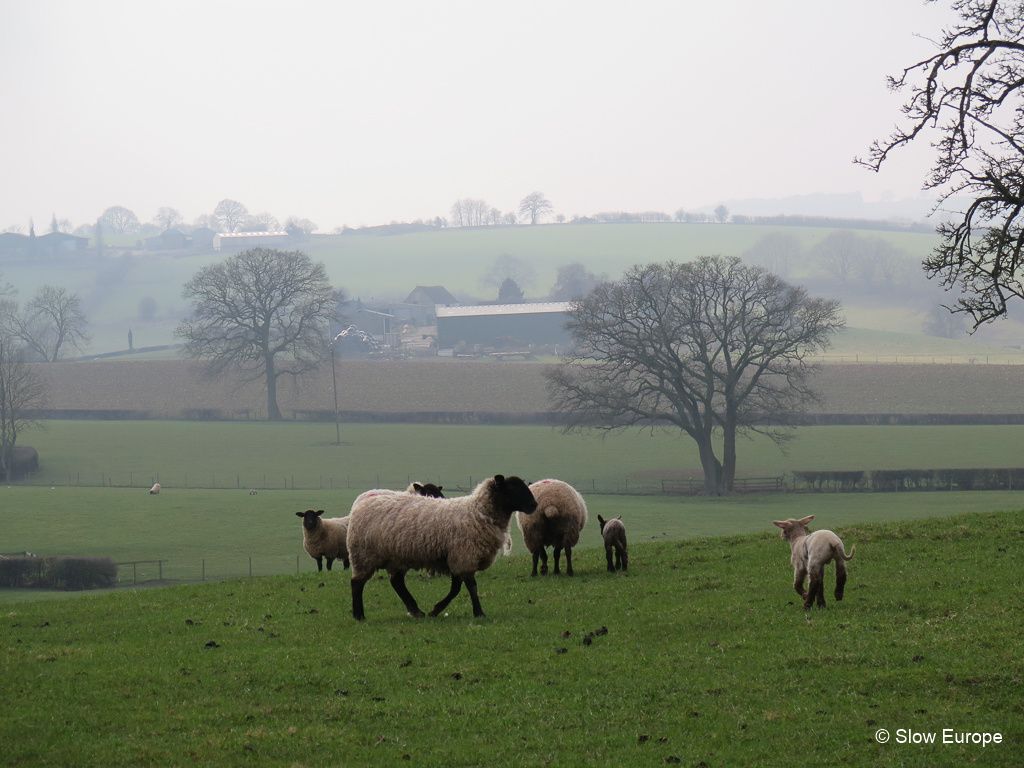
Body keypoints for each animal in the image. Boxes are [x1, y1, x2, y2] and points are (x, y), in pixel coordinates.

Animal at [346, 473, 536, 622]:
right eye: (513, 489)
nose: (534, 505)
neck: (478, 512)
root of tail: (361, 504)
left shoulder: (457, 557)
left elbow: (456, 589)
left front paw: (436, 610)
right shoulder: (463, 555)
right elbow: (470, 587)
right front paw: (478, 612)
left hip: (395, 557)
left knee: (397, 582)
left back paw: (415, 610)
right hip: (363, 555)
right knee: (356, 583)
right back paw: (359, 615)